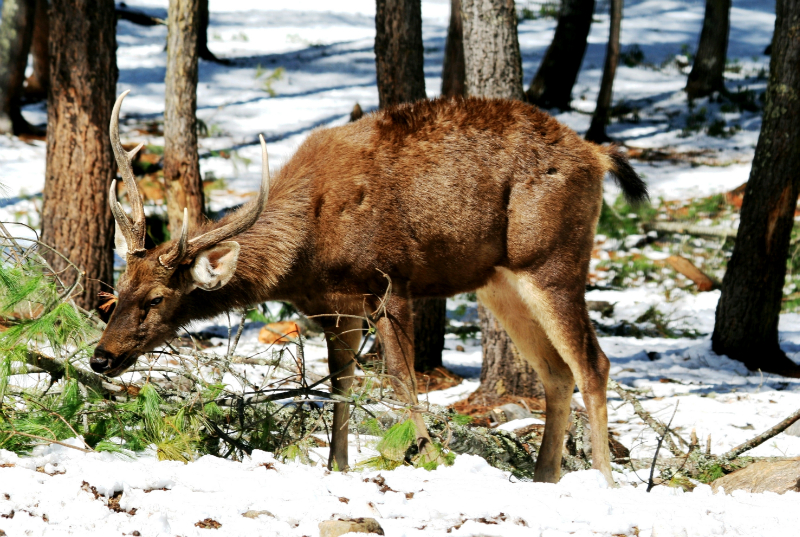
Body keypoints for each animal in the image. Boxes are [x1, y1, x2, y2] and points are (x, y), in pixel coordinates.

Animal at [94, 90, 648, 484]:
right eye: (118, 290)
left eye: (157, 298)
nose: (102, 356)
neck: (308, 249)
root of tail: (598, 156)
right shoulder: (333, 307)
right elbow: (341, 384)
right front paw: (336, 466)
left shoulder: (390, 280)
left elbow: (402, 381)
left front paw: (428, 457)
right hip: (500, 280)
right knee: (556, 371)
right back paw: (545, 477)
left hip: (552, 258)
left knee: (593, 363)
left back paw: (603, 481)